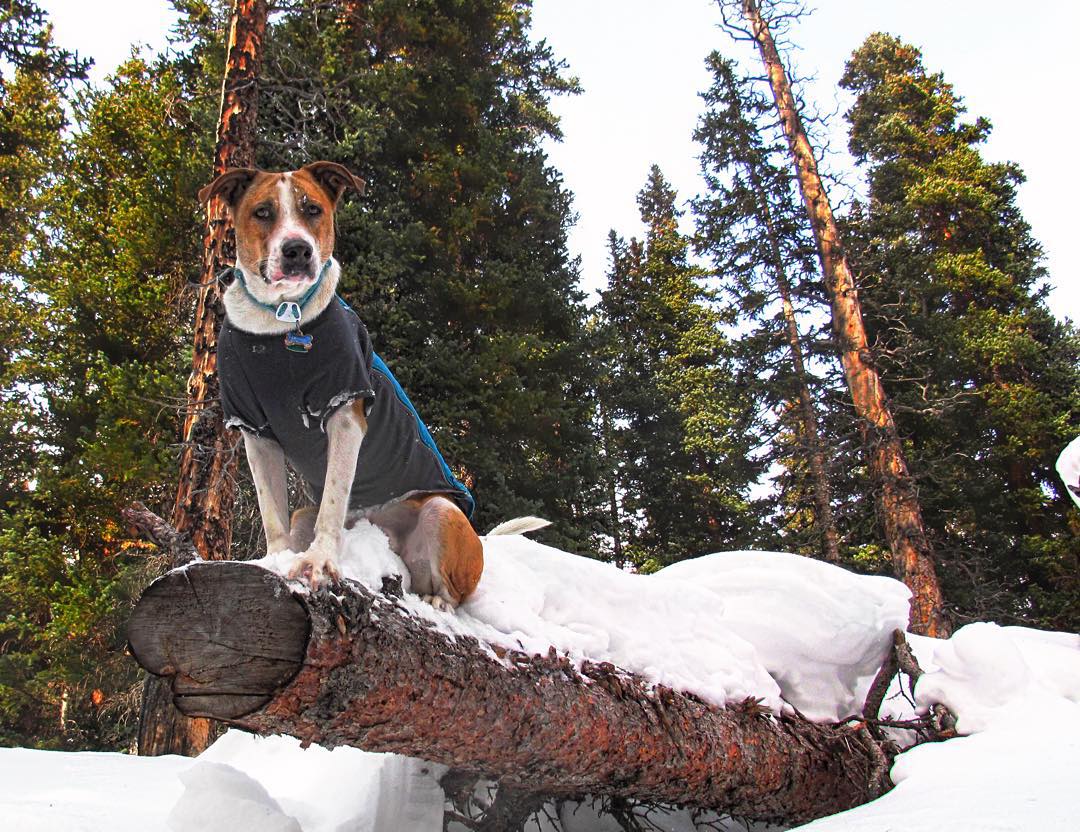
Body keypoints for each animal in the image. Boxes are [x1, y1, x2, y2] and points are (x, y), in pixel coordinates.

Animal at [200, 159, 488, 609]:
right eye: (262, 212)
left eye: (313, 209)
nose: (297, 250)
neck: (279, 324)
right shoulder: (254, 430)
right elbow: (271, 511)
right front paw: (275, 561)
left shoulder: (345, 410)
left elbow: (333, 501)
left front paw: (318, 563)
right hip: (308, 514)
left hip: (442, 513)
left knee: (454, 593)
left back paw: (436, 601)